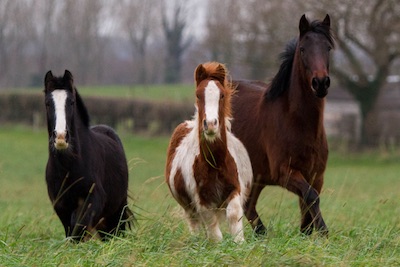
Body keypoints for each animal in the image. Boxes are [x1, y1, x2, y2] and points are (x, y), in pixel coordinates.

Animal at [44, 70, 134, 242]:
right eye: (47, 103)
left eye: (71, 102)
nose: (61, 137)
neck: (69, 167)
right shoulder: (60, 204)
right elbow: (71, 230)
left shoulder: (93, 199)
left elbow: (78, 226)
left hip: (117, 210)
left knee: (114, 232)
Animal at [165, 62, 252, 243]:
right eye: (198, 95)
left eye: (222, 95)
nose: (210, 124)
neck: (215, 164)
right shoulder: (202, 199)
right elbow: (213, 230)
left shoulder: (234, 189)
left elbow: (234, 214)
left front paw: (240, 243)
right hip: (188, 207)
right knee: (195, 224)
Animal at [231, 14, 334, 237]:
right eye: (303, 49)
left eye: (328, 48)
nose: (321, 83)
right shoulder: (284, 172)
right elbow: (311, 196)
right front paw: (323, 231)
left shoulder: (316, 175)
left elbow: (307, 203)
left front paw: (307, 233)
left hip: (257, 176)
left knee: (249, 205)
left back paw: (262, 234)